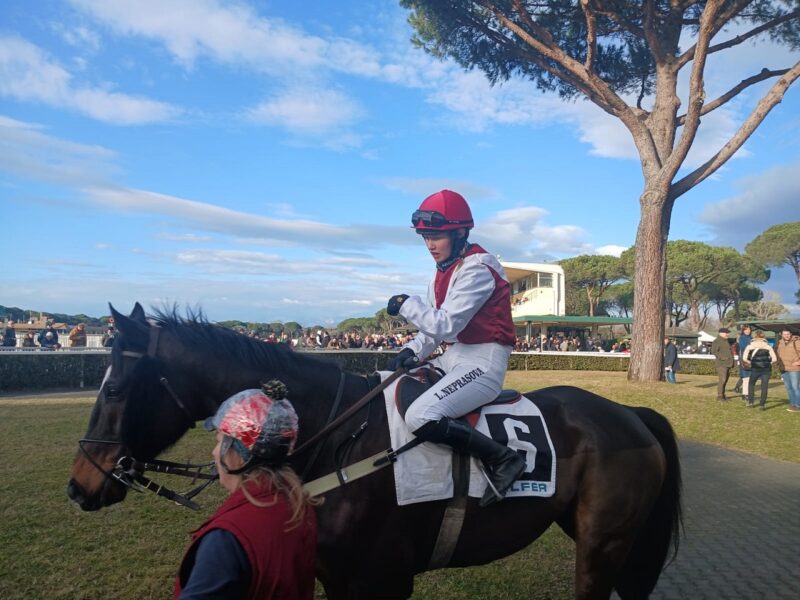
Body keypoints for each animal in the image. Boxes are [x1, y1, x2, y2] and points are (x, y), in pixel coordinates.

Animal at [70, 304, 680, 600]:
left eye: (114, 389)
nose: (80, 483)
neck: (337, 439)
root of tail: (631, 414)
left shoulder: (381, 581)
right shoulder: (334, 577)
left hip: (603, 544)